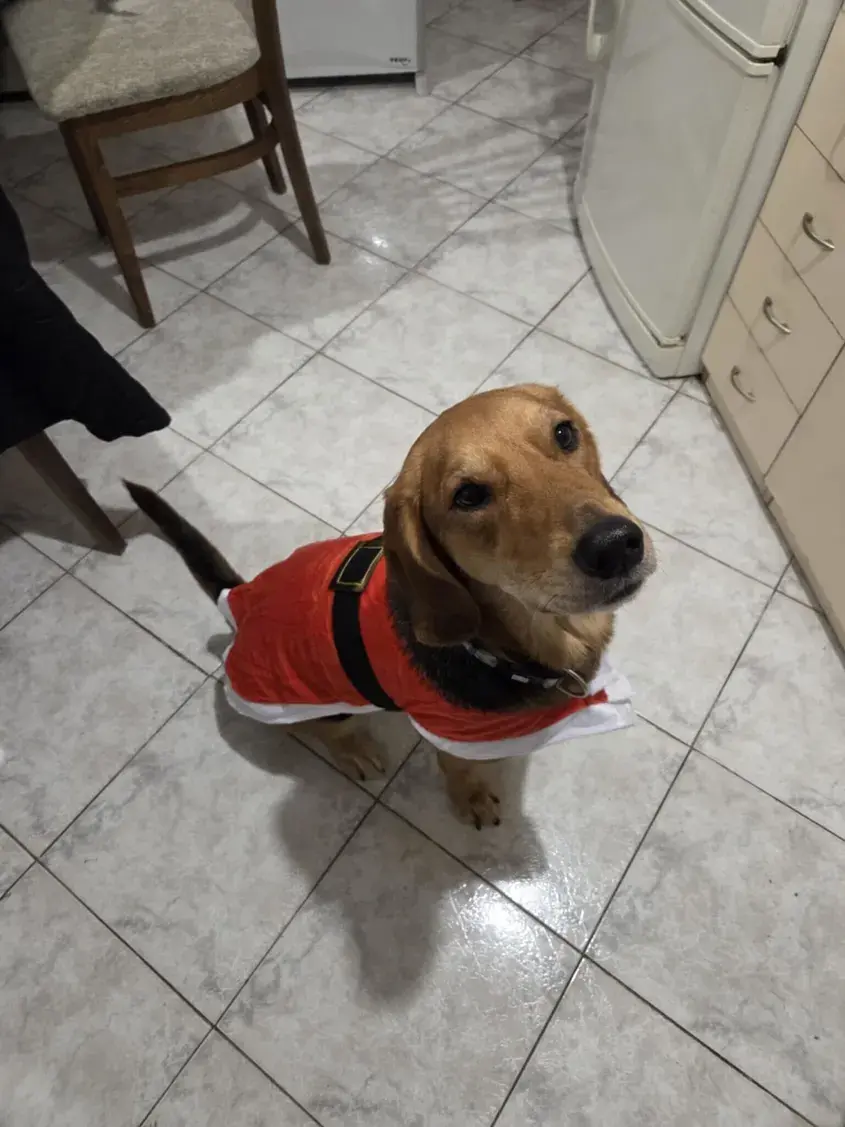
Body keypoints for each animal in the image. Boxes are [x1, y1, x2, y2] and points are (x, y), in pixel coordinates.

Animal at [126, 383, 655, 828]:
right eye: (468, 495)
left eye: (564, 433)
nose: (615, 545)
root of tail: (238, 601)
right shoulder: (451, 736)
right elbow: (458, 772)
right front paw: (471, 801)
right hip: (302, 700)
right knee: (322, 730)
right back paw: (354, 750)